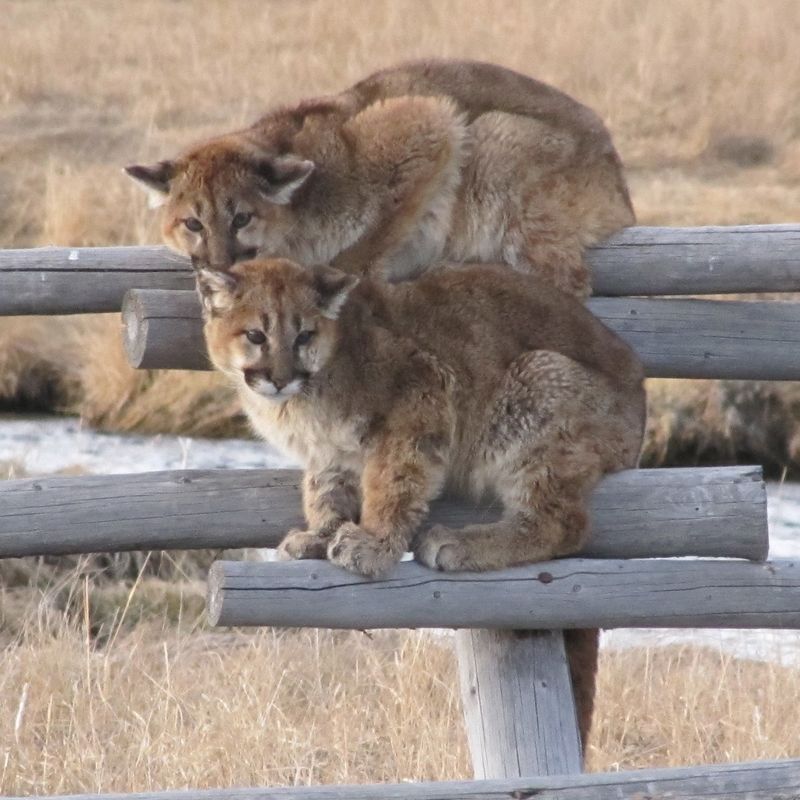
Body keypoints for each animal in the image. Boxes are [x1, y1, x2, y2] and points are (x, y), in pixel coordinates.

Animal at [126, 58, 632, 296]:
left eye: (242, 219)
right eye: (192, 223)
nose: (218, 266)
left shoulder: (429, 120)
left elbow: (379, 229)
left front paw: (349, 275)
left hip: (493, 139)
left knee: (567, 283)